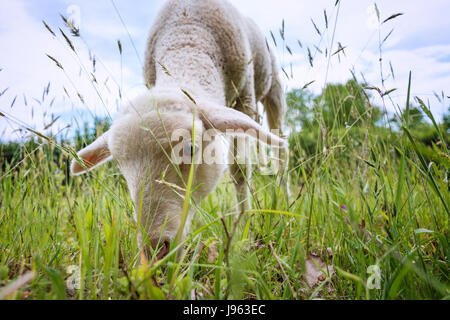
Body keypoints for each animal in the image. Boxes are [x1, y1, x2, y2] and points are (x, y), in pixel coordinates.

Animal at [70, 0, 288, 260]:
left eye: (191, 148)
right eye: (120, 165)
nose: (154, 248)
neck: (188, 38)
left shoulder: (244, 97)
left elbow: (239, 171)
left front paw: (243, 227)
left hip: (272, 87)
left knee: (280, 147)